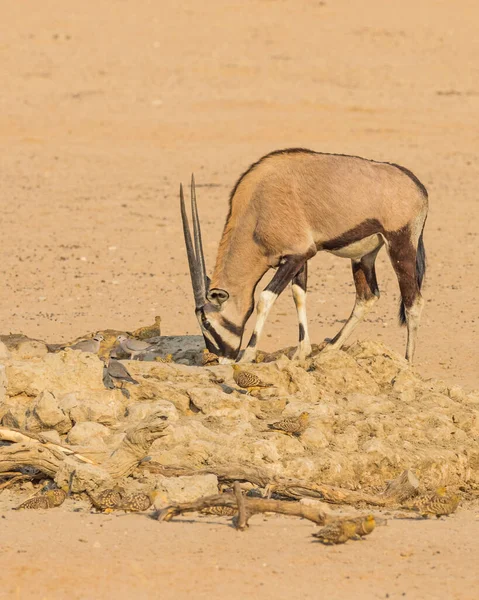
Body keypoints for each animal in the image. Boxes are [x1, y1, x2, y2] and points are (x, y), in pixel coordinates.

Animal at [180, 150, 428, 366]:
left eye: (206, 322)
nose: (220, 359)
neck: (256, 210)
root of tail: (418, 187)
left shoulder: (295, 256)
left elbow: (264, 298)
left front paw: (247, 355)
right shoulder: (299, 257)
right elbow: (298, 295)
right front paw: (302, 352)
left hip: (400, 245)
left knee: (413, 302)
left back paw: (407, 362)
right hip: (364, 256)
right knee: (367, 296)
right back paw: (329, 349)